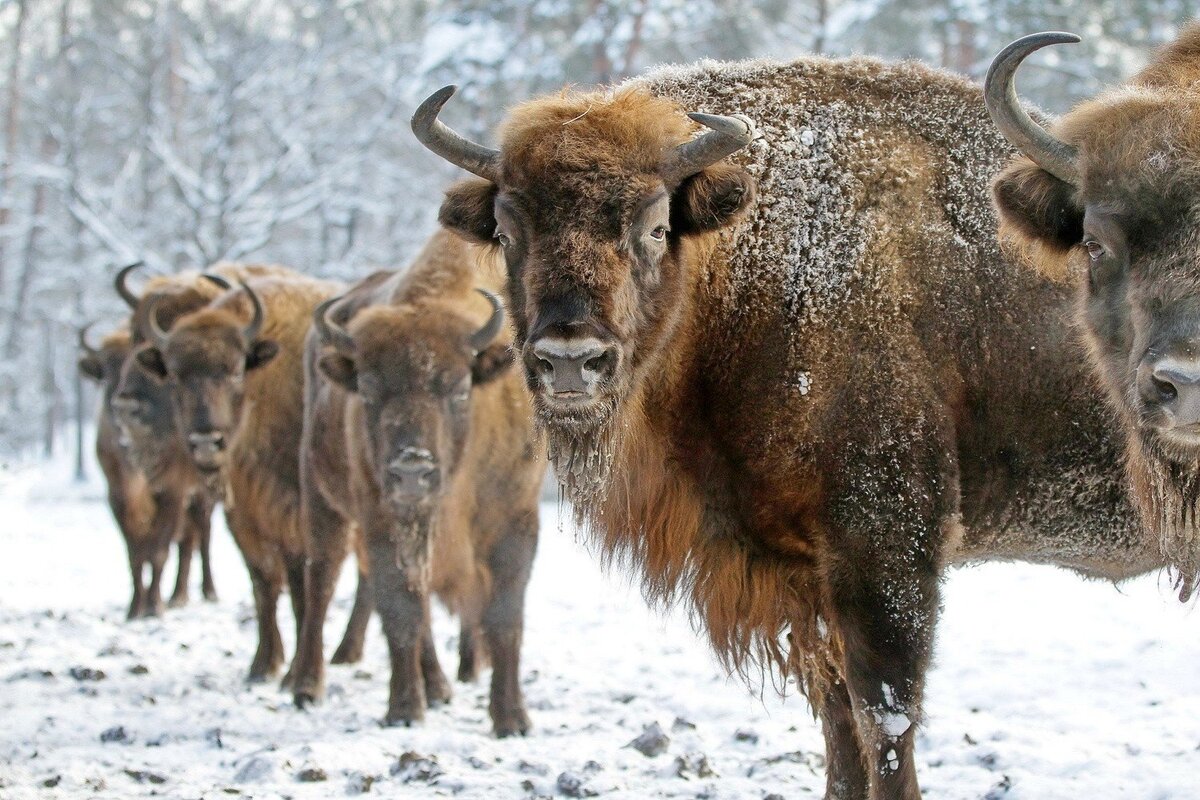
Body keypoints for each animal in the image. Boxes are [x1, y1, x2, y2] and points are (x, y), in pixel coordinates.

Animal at [136, 271, 343, 681]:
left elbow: (300, 583)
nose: (206, 440)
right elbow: (262, 582)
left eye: (233, 371)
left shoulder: (296, 511)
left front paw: (292, 671)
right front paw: (263, 666)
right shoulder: (244, 514)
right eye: (176, 376)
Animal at [292, 227, 547, 734]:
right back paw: (307, 687)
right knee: (321, 581)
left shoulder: (516, 520)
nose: (412, 470)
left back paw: (439, 687)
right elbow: (401, 612)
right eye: (368, 388)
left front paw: (511, 718)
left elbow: (505, 616)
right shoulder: (382, 522)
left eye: (459, 387)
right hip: (322, 499)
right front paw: (404, 710)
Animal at [412, 54, 1171, 796]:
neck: (750, 268)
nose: (571, 359)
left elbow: (884, 718)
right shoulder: (808, 578)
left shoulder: (885, 551)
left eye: (654, 226)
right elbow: (837, 721)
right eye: (507, 233)